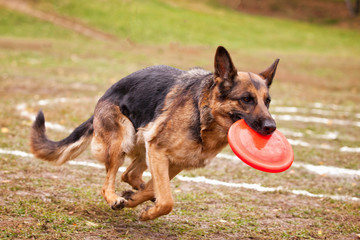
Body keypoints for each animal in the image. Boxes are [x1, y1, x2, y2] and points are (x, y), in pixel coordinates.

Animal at [30, 46, 278, 220]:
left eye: (267, 101)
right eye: (246, 99)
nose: (271, 127)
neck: (203, 114)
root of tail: (104, 96)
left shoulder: (176, 161)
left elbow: (157, 190)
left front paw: (138, 199)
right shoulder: (160, 151)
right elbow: (167, 201)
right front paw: (147, 212)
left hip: (144, 145)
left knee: (130, 175)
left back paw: (134, 192)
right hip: (124, 140)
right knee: (111, 181)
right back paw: (116, 198)